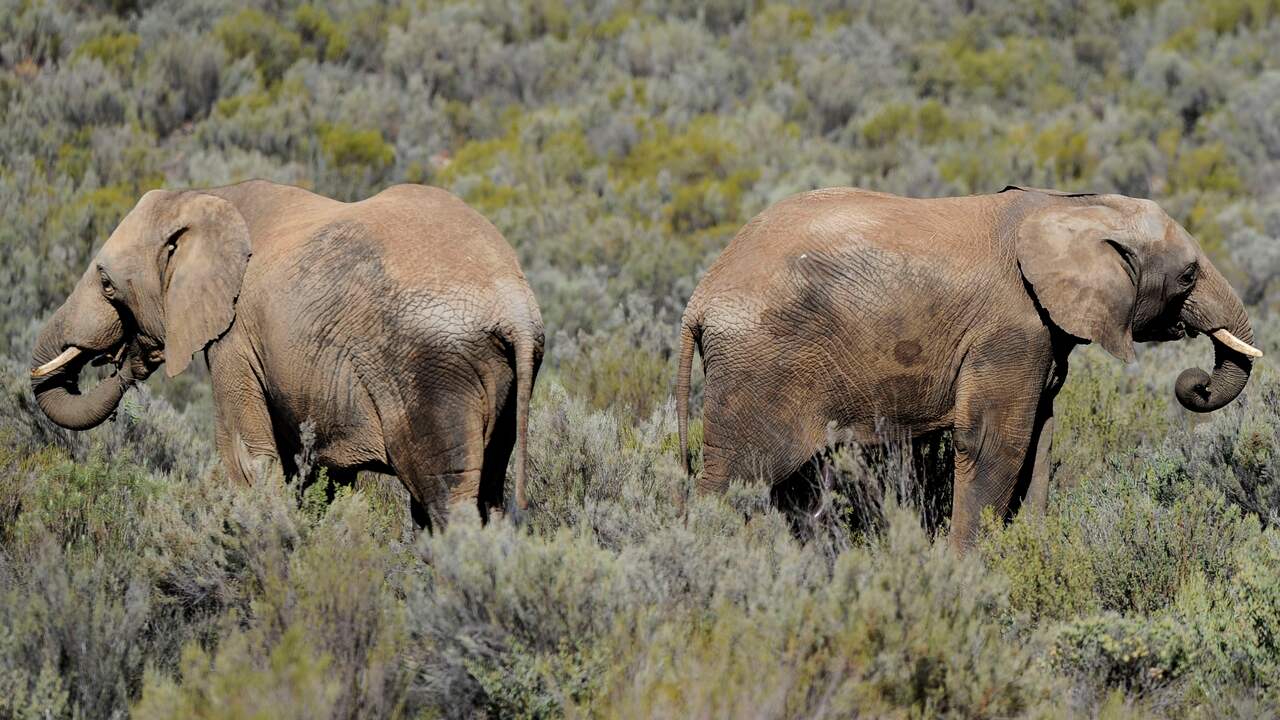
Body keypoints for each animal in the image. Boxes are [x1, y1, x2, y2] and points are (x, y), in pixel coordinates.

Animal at [30, 179, 540, 527]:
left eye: (107, 284)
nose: (128, 362)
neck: (206, 196)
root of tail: (514, 306)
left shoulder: (234, 337)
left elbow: (245, 457)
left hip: (430, 373)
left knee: (445, 501)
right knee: (488, 496)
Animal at [680, 185, 1259, 548]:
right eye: (1188, 276)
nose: (1195, 383)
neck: (1072, 205)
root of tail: (699, 298)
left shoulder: (1042, 337)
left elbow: (1040, 441)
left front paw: (1032, 552)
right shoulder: (1010, 332)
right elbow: (994, 443)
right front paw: (967, 569)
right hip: (759, 366)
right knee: (737, 480)